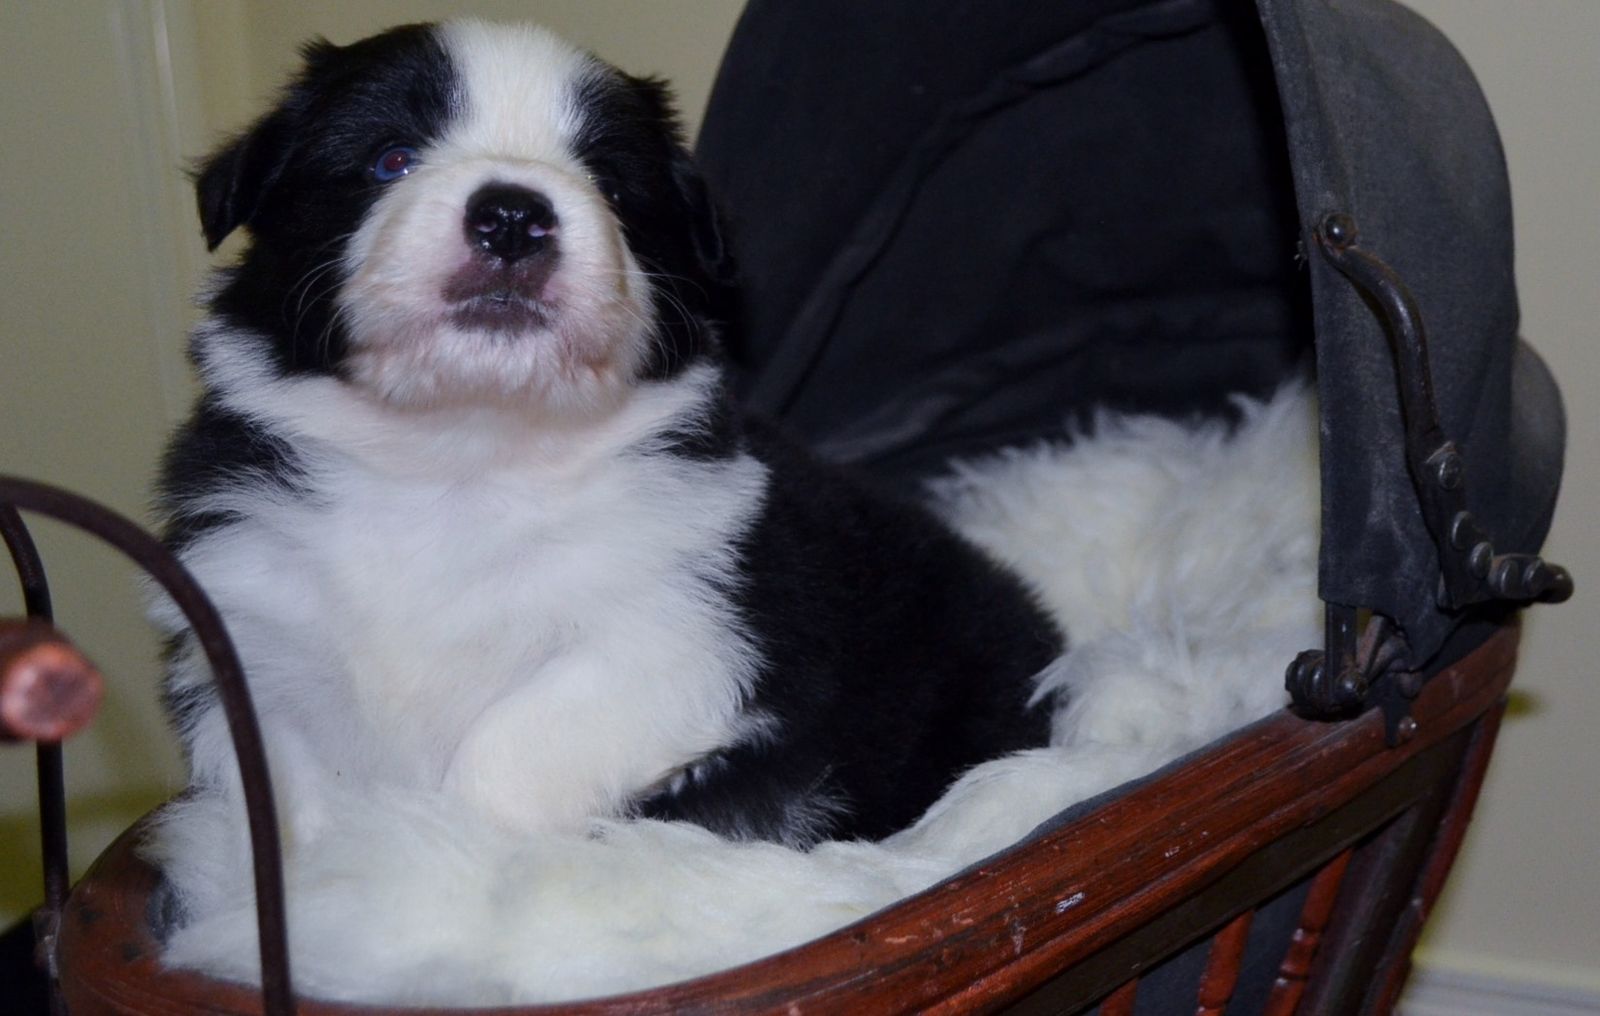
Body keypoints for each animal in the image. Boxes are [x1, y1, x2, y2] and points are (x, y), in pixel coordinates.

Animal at [155, 20, 1062, 849]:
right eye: (391, 159)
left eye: (611, 187)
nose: (512, 216)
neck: (460, 456)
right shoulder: (242, 642)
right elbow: (292, 804)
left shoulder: (688, 633)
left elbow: (507, 749)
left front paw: (456, 852)